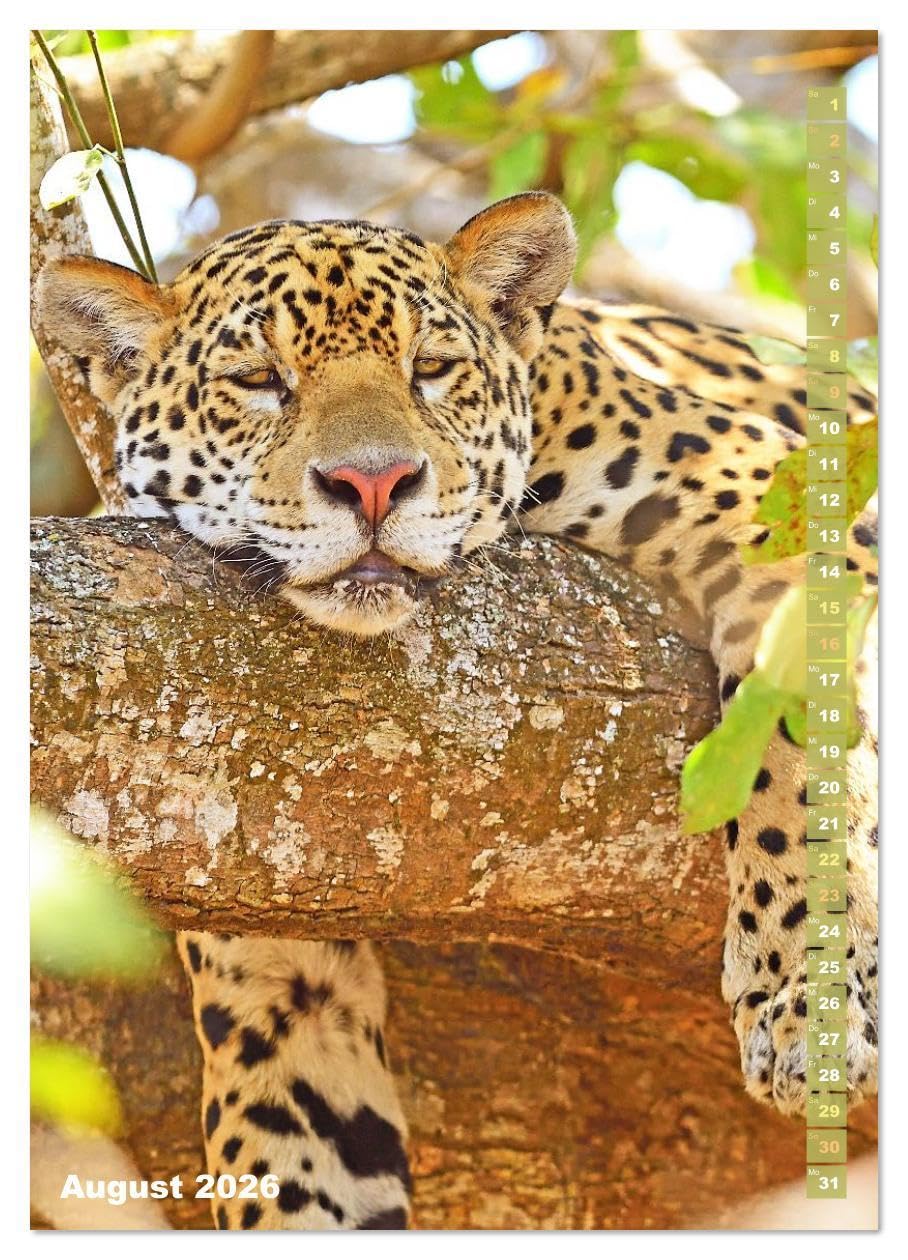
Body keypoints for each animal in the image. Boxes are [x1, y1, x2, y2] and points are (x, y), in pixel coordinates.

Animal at [37, 192, 878, 1230]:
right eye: (259, 381)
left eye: (431, 369)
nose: (372, 484)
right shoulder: (278, 960)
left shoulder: (775, 492)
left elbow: (795, 746)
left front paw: (807, 995)